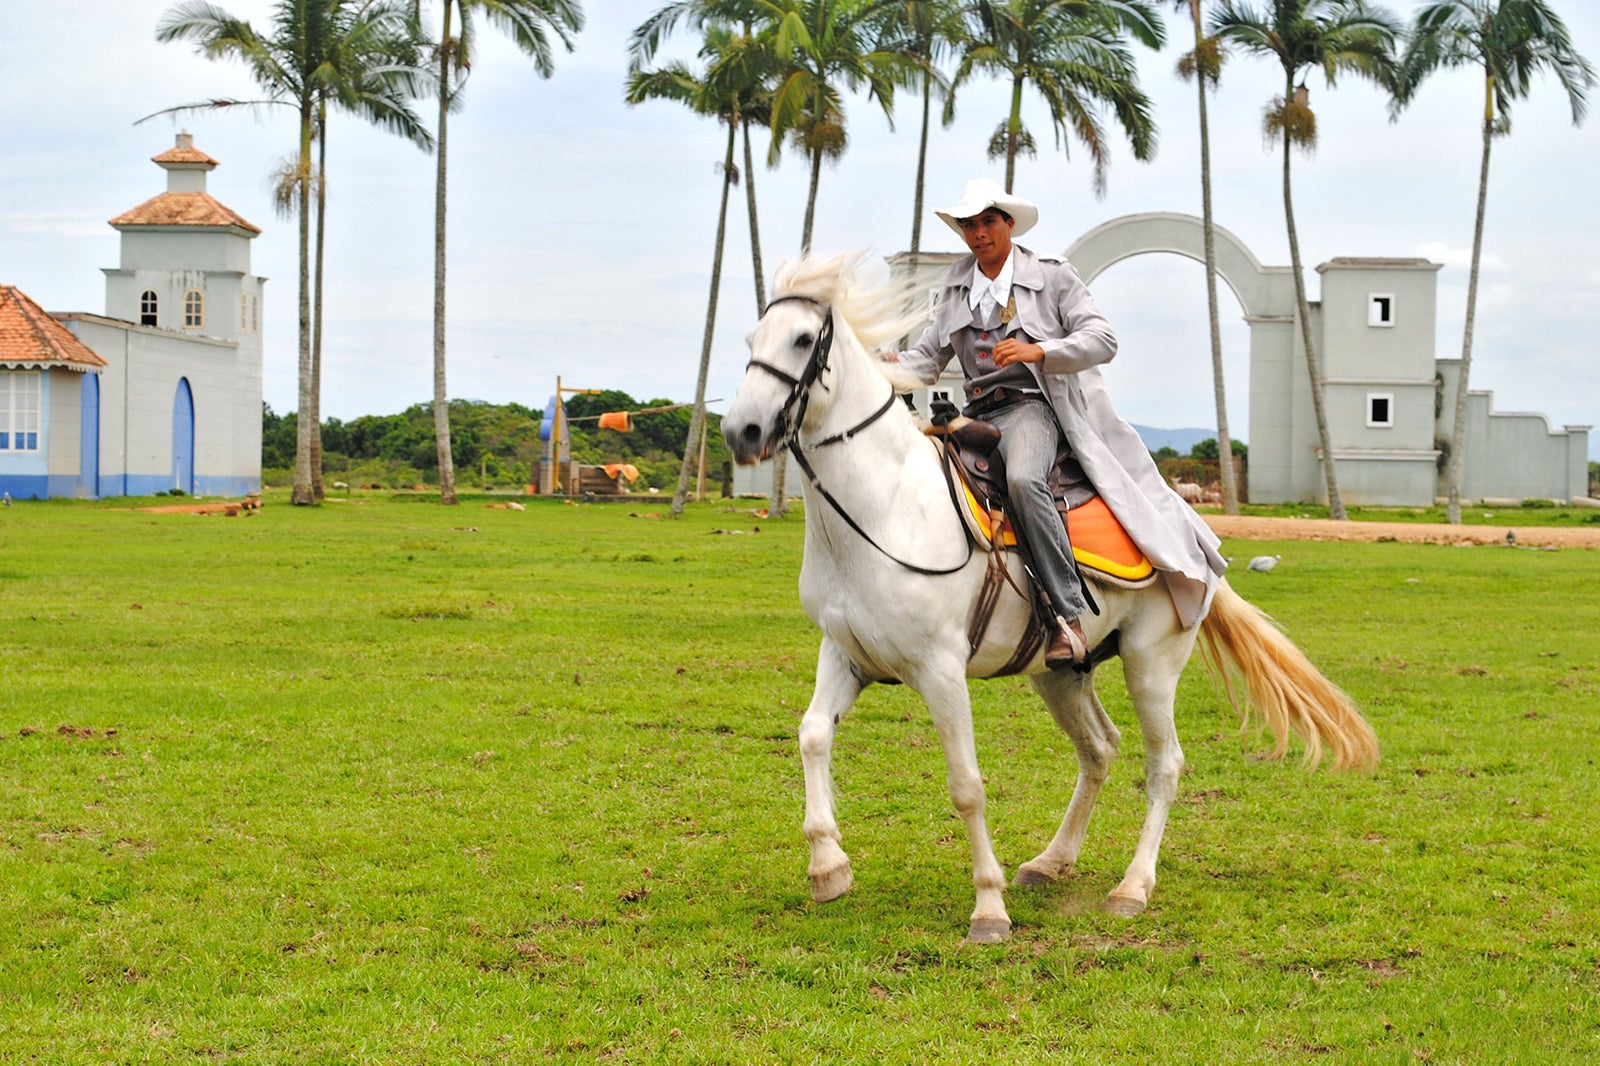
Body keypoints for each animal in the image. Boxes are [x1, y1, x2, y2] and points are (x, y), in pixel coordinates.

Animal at [726, 251, 1376, 941]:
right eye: (751, 340)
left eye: (802, 339)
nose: (742, 431)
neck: (885, 508)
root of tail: (1188, 527)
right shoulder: (847, 653)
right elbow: (812, 735)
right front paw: (828, 866)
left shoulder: (939, 669)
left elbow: (966, 784)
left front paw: (988, 908)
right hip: (1061, 672)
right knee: (1099, 749)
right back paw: (1051, 861)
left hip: (1151, 664)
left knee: (1164, 764)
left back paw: (1132, 888)